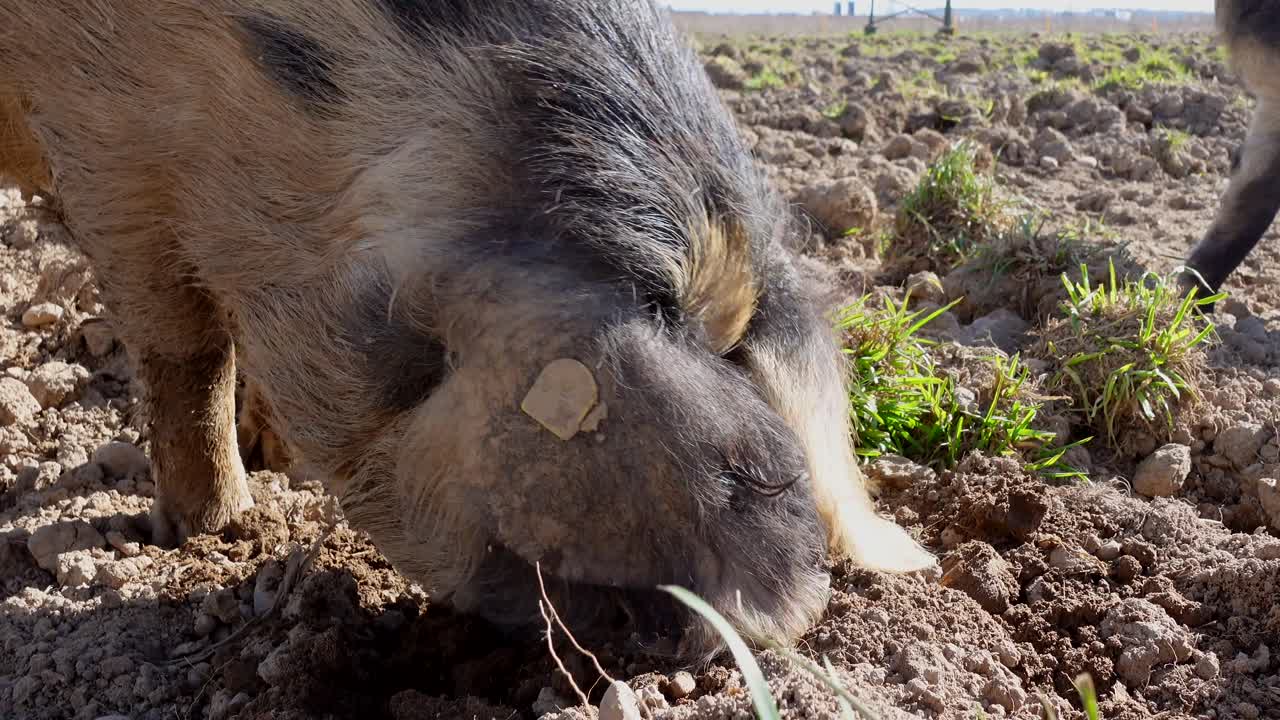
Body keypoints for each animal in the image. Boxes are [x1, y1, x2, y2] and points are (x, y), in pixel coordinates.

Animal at [0, 0, 934, 660]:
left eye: (730, 341)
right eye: (659, 312)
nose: (798, 611)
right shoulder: (103, 136)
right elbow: (187, 348)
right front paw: (218, 528)